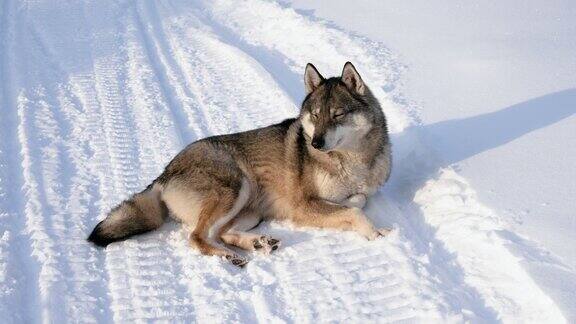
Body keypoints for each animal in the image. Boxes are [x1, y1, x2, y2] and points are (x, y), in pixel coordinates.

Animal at [89, 62, 392, 266]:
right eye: (316, 116)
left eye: (337, 115)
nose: (316, 142)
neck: (352, 161)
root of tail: (164, 174)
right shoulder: (303, 205)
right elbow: (356, 212)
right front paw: (377, 234)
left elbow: (359, 200)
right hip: (236, 186)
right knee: (198, 237)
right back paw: (229, 256)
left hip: (252, 211)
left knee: (221, 232)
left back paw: (258, 243)